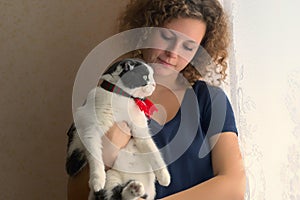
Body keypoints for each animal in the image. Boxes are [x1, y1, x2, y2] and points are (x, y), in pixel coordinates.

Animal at [67, 58, 172, 199]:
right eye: (145, 77)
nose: (154, 85)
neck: (121, 98)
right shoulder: (91, 129)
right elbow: (95, 156)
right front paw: (97, 180)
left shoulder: (140, 131)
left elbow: (154, 153)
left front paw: (165, 177)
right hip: (112, 175)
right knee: (117, 195)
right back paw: (133, 188)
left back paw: (136, 188)